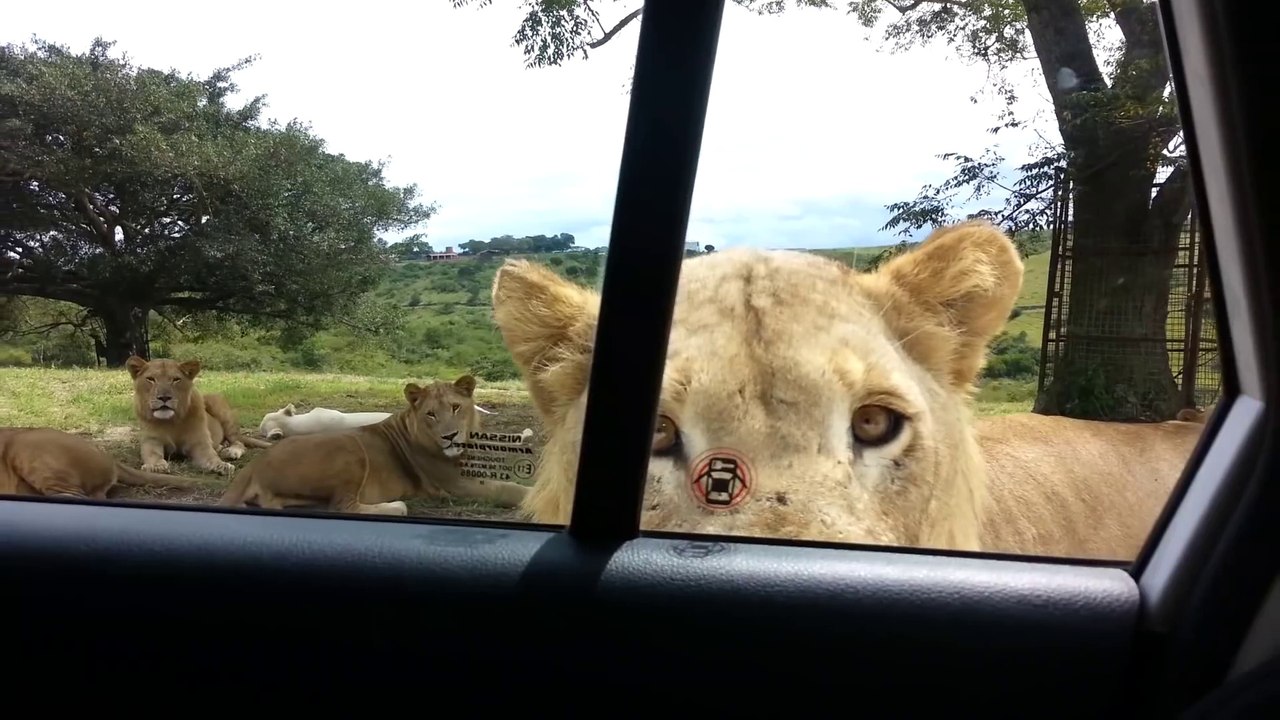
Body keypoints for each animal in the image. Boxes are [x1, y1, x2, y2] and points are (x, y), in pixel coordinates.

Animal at [126, 356, 272, 476]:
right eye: (150, 379)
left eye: (176, 380)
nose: (164, 397)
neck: (171, 421)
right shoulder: (151, 441)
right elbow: (152, 455)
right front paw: (156, 466)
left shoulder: (199, 442)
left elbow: (211, 457)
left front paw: (222, 465)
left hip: (218, 406)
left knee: (239, 441)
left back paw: (230, 452)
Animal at [217, 375, 529, 515]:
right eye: (430, 414)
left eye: (455, 407)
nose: (449, 436)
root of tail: (254, 466)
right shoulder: (455, 483)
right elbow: (509, 489)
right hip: (351, 449)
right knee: (342, 506)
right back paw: (396, 506)